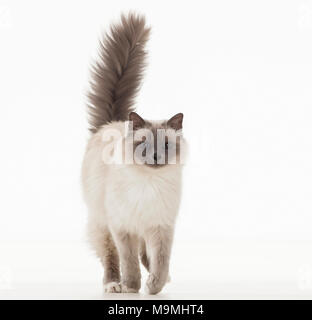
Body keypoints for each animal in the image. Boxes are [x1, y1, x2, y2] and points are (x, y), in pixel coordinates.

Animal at [81, 13, 186, 296]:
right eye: (143, 145)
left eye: (165, 145)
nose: (156, 157)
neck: (148, 183)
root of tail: (112, 123)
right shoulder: (122, 228)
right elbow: (127, 261)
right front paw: (131, 286)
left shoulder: (161, 227)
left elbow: (160, 260)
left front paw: (154, 286)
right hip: (102, 225)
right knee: (111, 259)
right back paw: (114, 285)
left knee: (146, 255)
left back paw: (163, 278)